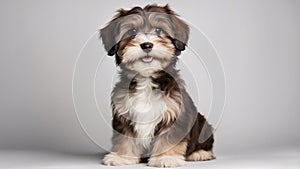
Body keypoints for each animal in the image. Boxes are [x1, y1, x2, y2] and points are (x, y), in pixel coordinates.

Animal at [101, 4, 216, 168]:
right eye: (132, 32)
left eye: (158, 30)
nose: (147, 45)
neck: (147, 79)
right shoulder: (123, 114)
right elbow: (124, 138)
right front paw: (122, 157)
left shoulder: (174, 113)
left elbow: (169, 139)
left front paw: (166, 158)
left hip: (202, 123)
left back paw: (200, 153)